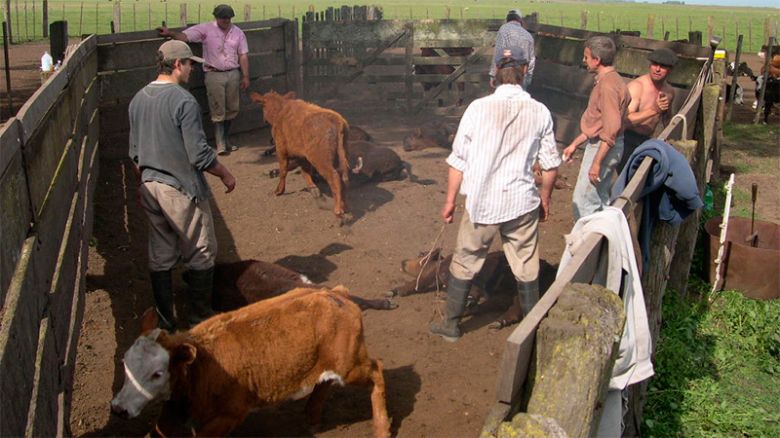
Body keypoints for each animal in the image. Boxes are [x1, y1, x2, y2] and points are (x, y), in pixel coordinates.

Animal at [110, 288, 394, 438]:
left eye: (157, 374)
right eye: (125, 365)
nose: (119, 409)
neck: (199, 367)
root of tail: (335, 294)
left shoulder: (230, 415)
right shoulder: (174, 407)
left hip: (350, 365)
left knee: (377, 369)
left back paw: (381, 427)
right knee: (323, 383)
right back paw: (312, 417)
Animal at [390, 250, 532, 328]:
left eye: (422, 254)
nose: (402, 262)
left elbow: (418, 282)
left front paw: (395, 291)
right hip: (505, 298)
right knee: (507, 309)